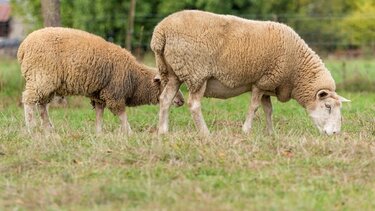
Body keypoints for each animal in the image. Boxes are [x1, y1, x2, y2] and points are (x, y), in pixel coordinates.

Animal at [17, 27, 185, 134]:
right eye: (166, 84)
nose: (181, 101)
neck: (134, 79)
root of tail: (23, 47)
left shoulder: (98, 95)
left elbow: (99, 114)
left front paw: (98, 133)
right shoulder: (114, 94)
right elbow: (121, 114)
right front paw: (129, 132)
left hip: (45, 82)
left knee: (42, 105)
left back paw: (48, 129)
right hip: (41, 77)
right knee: (29, 100)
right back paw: (31, 128)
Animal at [151, 9, 352, 136]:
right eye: (328, 106)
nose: (335, 133)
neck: (297, 72)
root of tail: (161, 32)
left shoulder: (269, 85)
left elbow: (268, 110)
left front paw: (271, 133)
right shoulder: (261, 82)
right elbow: (254, 107)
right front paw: (246, 131)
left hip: (173, 73)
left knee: (165, 99)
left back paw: (163, 131)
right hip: (196, 74)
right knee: (194, 105)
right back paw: (205, 133)